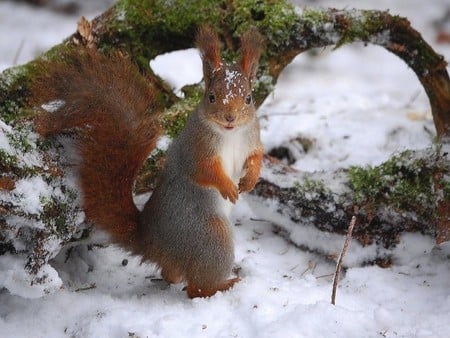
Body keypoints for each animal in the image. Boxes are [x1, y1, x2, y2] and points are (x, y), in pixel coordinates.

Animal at [30, 25, 264, 298]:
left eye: (248, 98)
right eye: (212, 97)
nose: (230, 118)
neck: (231, 134)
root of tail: (151, 242)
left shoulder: (252, 139)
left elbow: (256, 157)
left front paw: (250, 180)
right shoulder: (195, 148)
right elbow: (203, 170)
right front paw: (227, 187)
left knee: (175, 277)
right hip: (211, 239)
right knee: (195, 289)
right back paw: (224, 285)